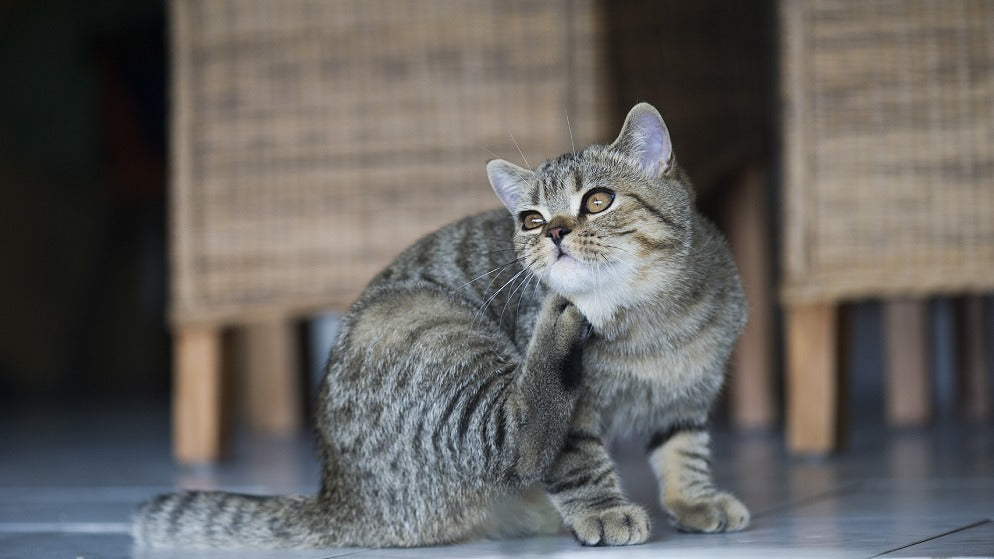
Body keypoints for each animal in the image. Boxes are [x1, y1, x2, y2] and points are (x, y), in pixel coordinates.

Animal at [136, 103, 748, 548]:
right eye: (530, 219)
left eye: (598, 200)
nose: (553, 232)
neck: (650, 323)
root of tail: (338, 496)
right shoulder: (580, 416)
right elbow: (576, 460)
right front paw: (604, 510)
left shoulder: (686, 398)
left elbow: (684, 450)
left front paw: (695, 499)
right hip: (434, 331)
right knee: (519, 438)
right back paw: (558, 324)